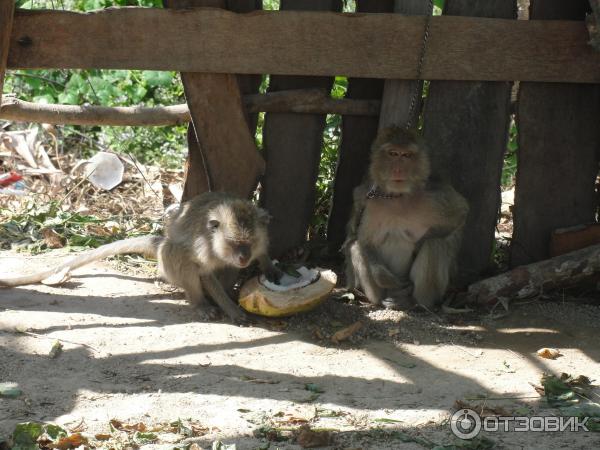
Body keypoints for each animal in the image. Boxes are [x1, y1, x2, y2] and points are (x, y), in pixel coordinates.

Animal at [0, 192, 282, 322]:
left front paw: (269, 267)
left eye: (248, 243)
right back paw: (199, 302)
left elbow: (263, 253)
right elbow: (202, 272)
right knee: (177, 255)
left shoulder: (261, 235)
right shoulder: (205, 247)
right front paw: (231, 310)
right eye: (234, 243)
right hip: (167, 263)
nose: (243, 257)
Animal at [342, 126, 468, 310]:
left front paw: (419, 244)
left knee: (435, 244)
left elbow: (459, 215)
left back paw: (416, 302)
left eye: (407, 155)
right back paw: (378, 300)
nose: (398, 170)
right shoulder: (367, 200)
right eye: (393, 154)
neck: (397, 197)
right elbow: (363, 240)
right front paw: (383, 277)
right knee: (354, 246)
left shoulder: (434, 194)